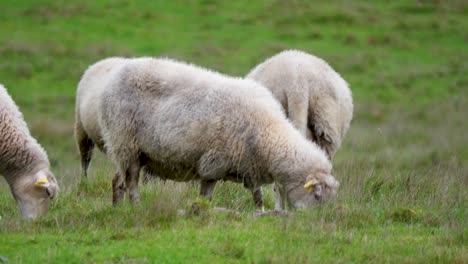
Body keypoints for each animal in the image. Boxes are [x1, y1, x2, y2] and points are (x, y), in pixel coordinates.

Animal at [99, 57, 340, 210]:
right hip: (126, 143)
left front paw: (260, 214)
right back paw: (136, 208)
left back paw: (117, 209)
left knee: (117, 180)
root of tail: (114, 77)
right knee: (131, 183)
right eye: (317, 195)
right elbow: (206, 197)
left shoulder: (249, 167)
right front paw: (200, 213)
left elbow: (258, 197)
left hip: (132, 152)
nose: (317, 223)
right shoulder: (213, 164)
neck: (267, 134)